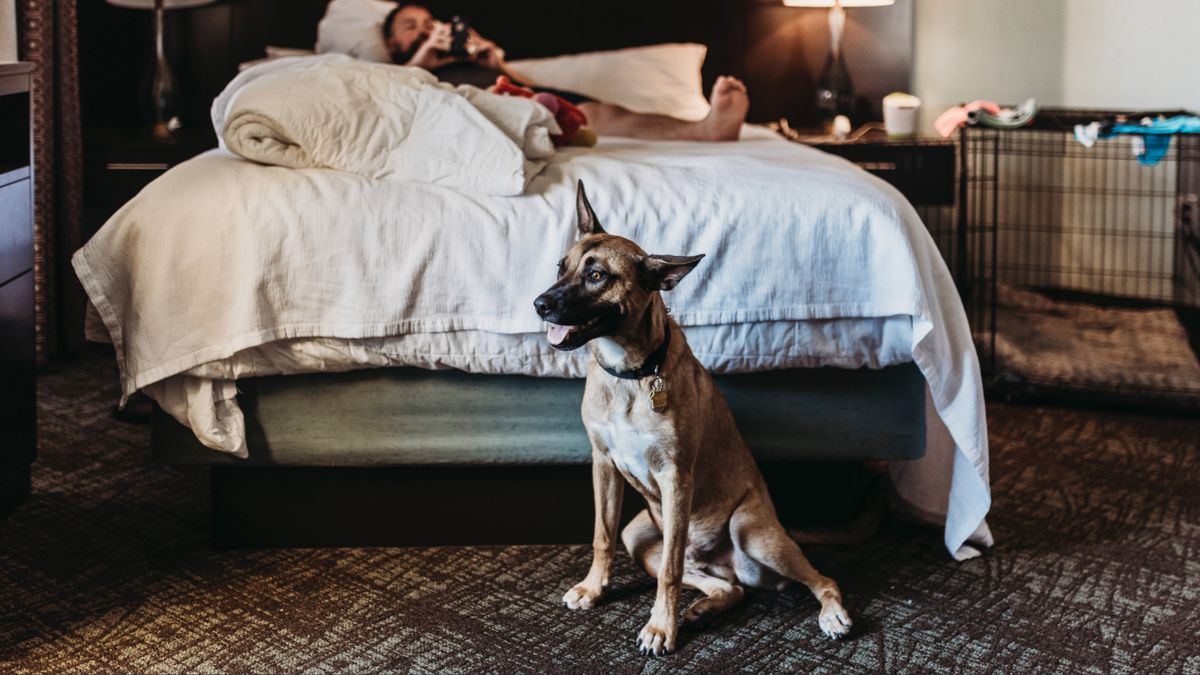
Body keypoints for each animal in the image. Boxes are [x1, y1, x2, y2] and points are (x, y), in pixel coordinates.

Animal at [535, 181, 854, 653]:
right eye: (562, 267)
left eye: (597, 276)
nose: (539, 304)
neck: (631, 373)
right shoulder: (603, 465)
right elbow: (601, 536)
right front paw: (594, 588)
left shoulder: (675, 477)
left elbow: (668, 573)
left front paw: (660, 627)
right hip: (640, 536)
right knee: (726, 586)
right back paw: (706, 605)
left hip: (752, 530)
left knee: (823, 578)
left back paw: (831, 613)